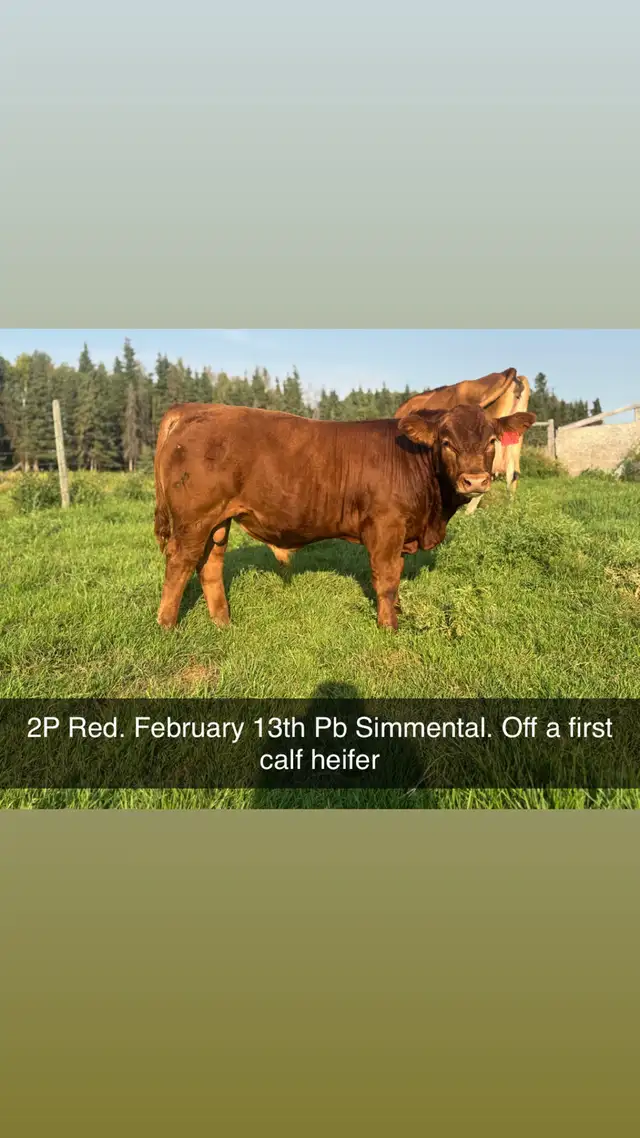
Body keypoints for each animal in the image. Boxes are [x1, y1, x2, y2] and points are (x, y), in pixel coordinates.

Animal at [153, 401, 535, 631]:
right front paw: (389, 626)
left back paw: (223, 623)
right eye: (446, 442)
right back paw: (167, 625)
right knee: (179, 563)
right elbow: (387, 578)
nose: (475, 480)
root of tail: (197, 407)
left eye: (491, 441)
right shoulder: (386, 527)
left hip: (217, 522)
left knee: (209, 564)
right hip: (194, 520)